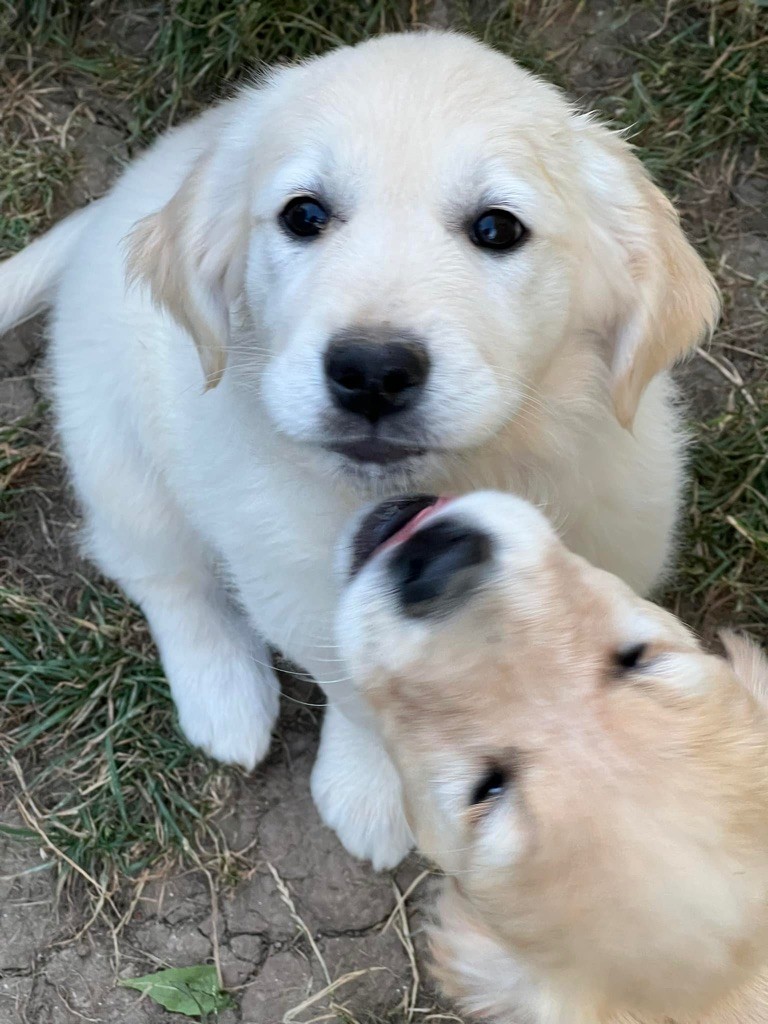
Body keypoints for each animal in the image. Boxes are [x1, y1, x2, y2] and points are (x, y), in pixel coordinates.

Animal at [1, 32, 720, 868]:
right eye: (304, 215)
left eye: (498, 228)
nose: (372, 372)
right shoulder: (298, 590)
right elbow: (359, 692)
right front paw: (374, 788)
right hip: (114, 443)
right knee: (156, 568)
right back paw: (224, 693)